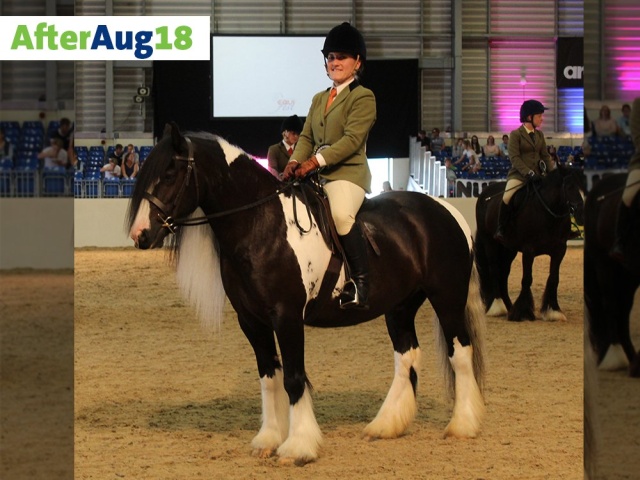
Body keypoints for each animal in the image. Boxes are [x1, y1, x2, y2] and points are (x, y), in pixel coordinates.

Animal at [127, 122, 487, 465]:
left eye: (169, 173)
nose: (140, 234)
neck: (262, 224)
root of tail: (447, 210)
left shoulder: (287, 317)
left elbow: (294, 379)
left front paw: (298, 446)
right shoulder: (252, 321)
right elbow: (270, 376)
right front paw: (268, 440)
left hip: (447, 299)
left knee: (460, 353)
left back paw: (463, 425)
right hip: (399, 307)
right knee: (407, 355)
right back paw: (385, 426)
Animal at [474, 166, 585, 321]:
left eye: (583, 186)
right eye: (569, 186)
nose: (582, 214)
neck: (547, 212)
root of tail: (484, 194)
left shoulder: (559, 250)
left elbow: (554, 279)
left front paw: (553, 310)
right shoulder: (528, 250)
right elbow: (527, 279)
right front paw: (522, 312)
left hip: (508, 249)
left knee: (504, 273)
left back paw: (509, 306)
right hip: (489, 242)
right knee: (494, 269)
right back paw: (497, 307)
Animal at [584, 173, 640, 377]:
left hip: (627, 275)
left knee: (623, 310)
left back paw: (633, 360)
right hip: (604, 265)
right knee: (611, 305)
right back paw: (615, 356)